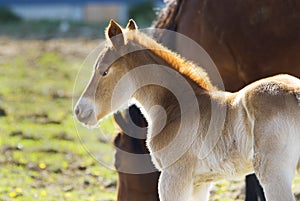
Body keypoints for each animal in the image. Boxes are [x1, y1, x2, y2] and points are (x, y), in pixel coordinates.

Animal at [75, 20, 300, 201]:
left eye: (104, 71)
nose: (80, 111)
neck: (174, 107)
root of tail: (294, 93)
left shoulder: (173, 177)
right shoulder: (200, 182)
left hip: (273, 173)